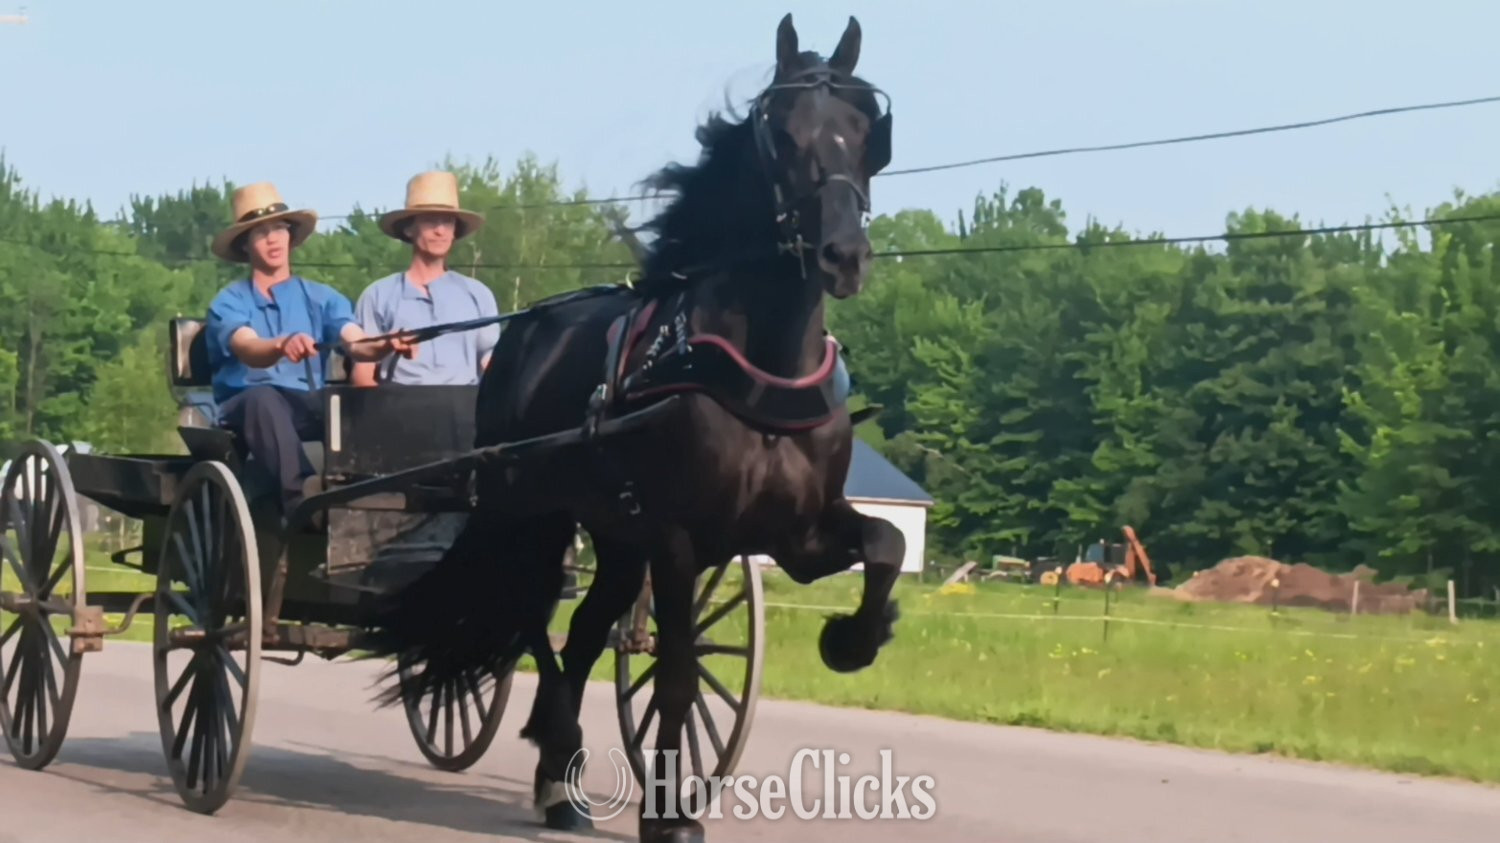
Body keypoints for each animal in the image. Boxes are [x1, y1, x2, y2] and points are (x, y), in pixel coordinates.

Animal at [363, 14, 900, 842]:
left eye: (869, 127)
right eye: (781, 130)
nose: (844, 255)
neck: (759, 371)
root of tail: (524, 330)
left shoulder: (798, 533)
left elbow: (885, 543)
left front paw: (853, 638)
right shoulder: (678, 537)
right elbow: (674, 675)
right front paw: (670, 812)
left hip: (615, 537)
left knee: (584, 629)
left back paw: (559, 779)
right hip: (532, 514)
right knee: (533, 616)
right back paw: (558, 747)